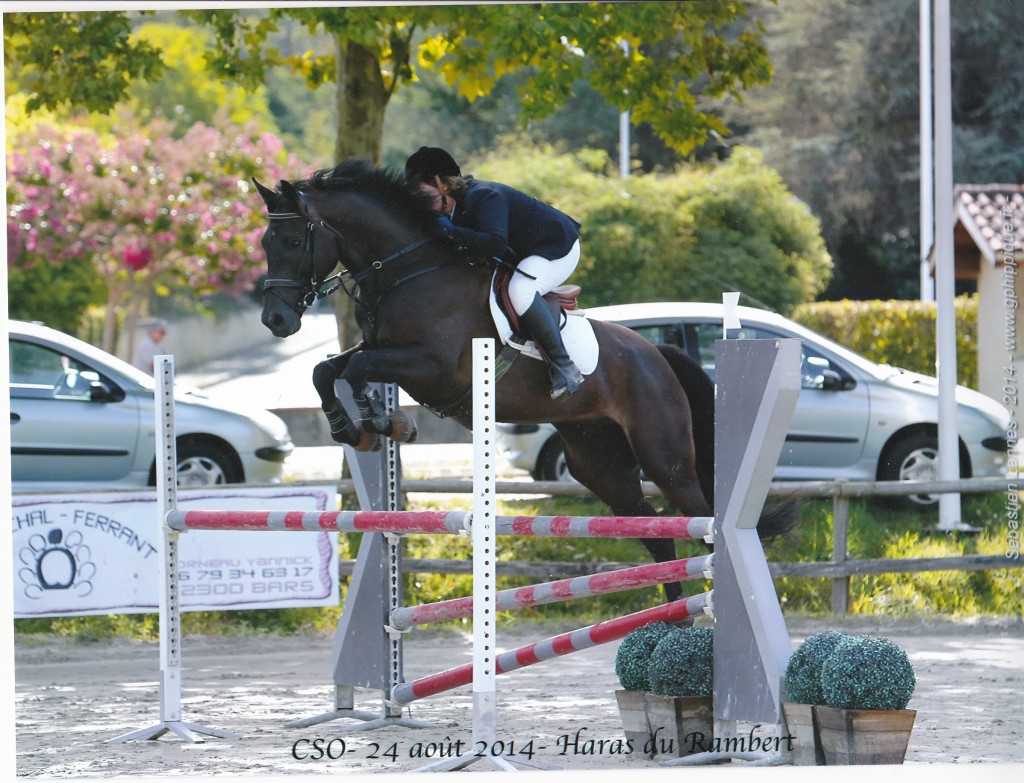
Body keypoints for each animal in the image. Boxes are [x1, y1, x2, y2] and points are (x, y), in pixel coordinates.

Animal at [251, 157, 794, 597]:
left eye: (294, 240)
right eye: (263, 242)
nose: (275, 321)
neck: (409, 270)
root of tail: (657, 354)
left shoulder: (431, 367)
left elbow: (354, 368)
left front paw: (373, 423)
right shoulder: (383, 350)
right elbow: (329, 368)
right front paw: (364, 426)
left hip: (665, 456)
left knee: (699, 519)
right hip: (600, 463)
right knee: (655, 538)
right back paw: (668, 630)